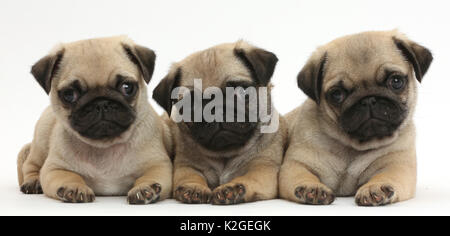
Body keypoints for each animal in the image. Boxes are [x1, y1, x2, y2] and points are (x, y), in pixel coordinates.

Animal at [16, 36, 173, 204]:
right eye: (69, 94)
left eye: (127, 87)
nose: (101, 103)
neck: (105, 146)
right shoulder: (55, 168)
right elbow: (69, 176)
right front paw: (74, 187)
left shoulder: (158, 165)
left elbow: (150, 175)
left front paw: (144, 188)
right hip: (42, 137)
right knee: (31, 164)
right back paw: (33, 182)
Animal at [153, 40, 286, 205]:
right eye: (191, 104)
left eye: (241, 92)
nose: (215, 110)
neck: (225, 153)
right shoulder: (187, 166)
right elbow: (191, 176)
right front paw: (194, 187)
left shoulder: (262, 168)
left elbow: (248, 178)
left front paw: (232, 188)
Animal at [282, 30, 432, 206]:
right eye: (337, 94)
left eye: (396, 81)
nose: (368, 100)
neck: (353, 146)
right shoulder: (296, 164)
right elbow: (301, 174)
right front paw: (311, 187)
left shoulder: (398, 165)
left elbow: (386, 175)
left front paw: (376, 187)